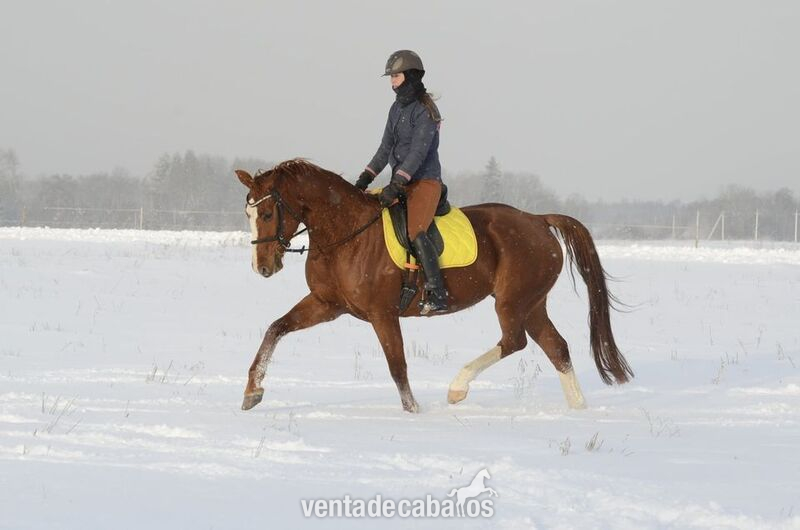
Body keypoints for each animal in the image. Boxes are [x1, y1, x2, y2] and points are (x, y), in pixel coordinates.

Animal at [235, 159, 632, 413]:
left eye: (267, 213)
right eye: (248, 213)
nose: (262, 267)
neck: (345, 234)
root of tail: (538, 219)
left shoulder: (382, 313)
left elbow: (397, 365)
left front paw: (414, 412)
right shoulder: (327, 304)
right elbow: (275, 329)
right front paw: (252, 392)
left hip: (512, 301)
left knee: (514, 341)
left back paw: (458, 388)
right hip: (532, 304)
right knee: (556, 347)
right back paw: (578, 410)